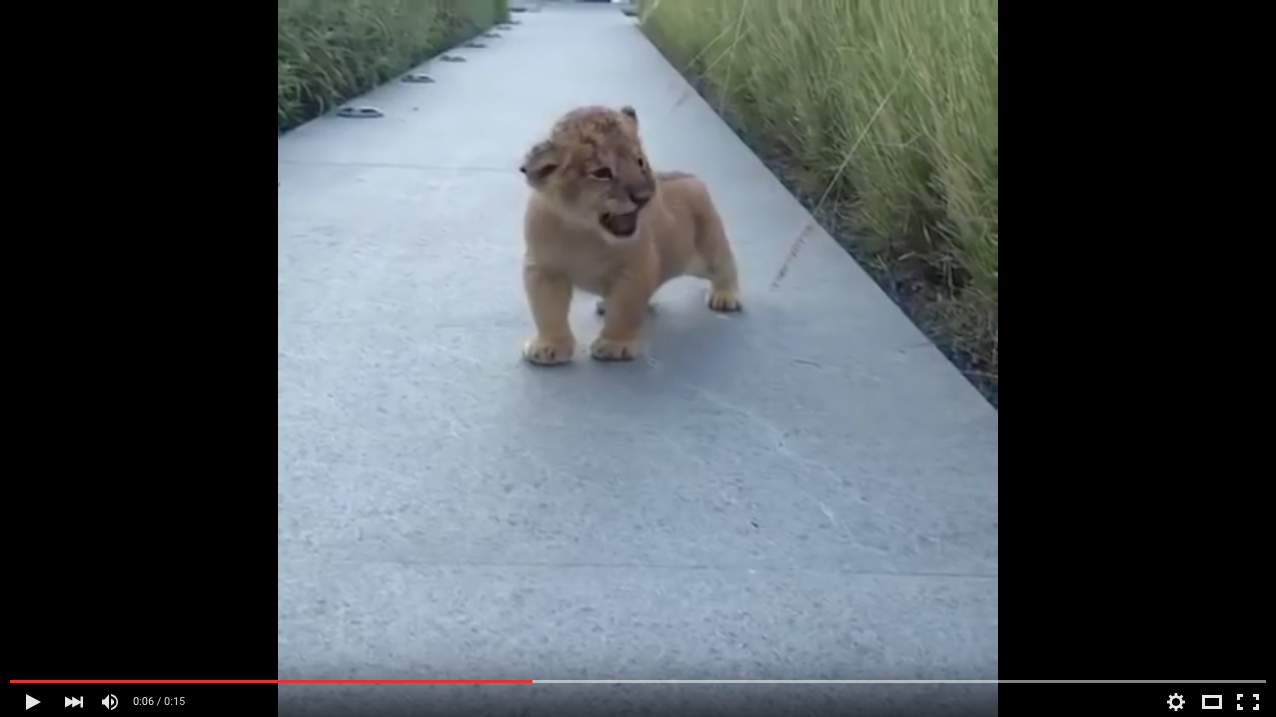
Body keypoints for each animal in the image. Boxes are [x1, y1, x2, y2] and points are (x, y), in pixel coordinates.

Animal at [517, 104, 743, 365]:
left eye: (640, 161)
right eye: (602, 173)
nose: (644, 196)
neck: (584, 232)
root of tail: (689, 175)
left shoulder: (635, 269)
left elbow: (625, 310)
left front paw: (615, 346)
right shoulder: (544, 269)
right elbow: (547, 311)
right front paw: (549, 347)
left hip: (709, 244)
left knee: (725, 265)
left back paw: (725, 296)